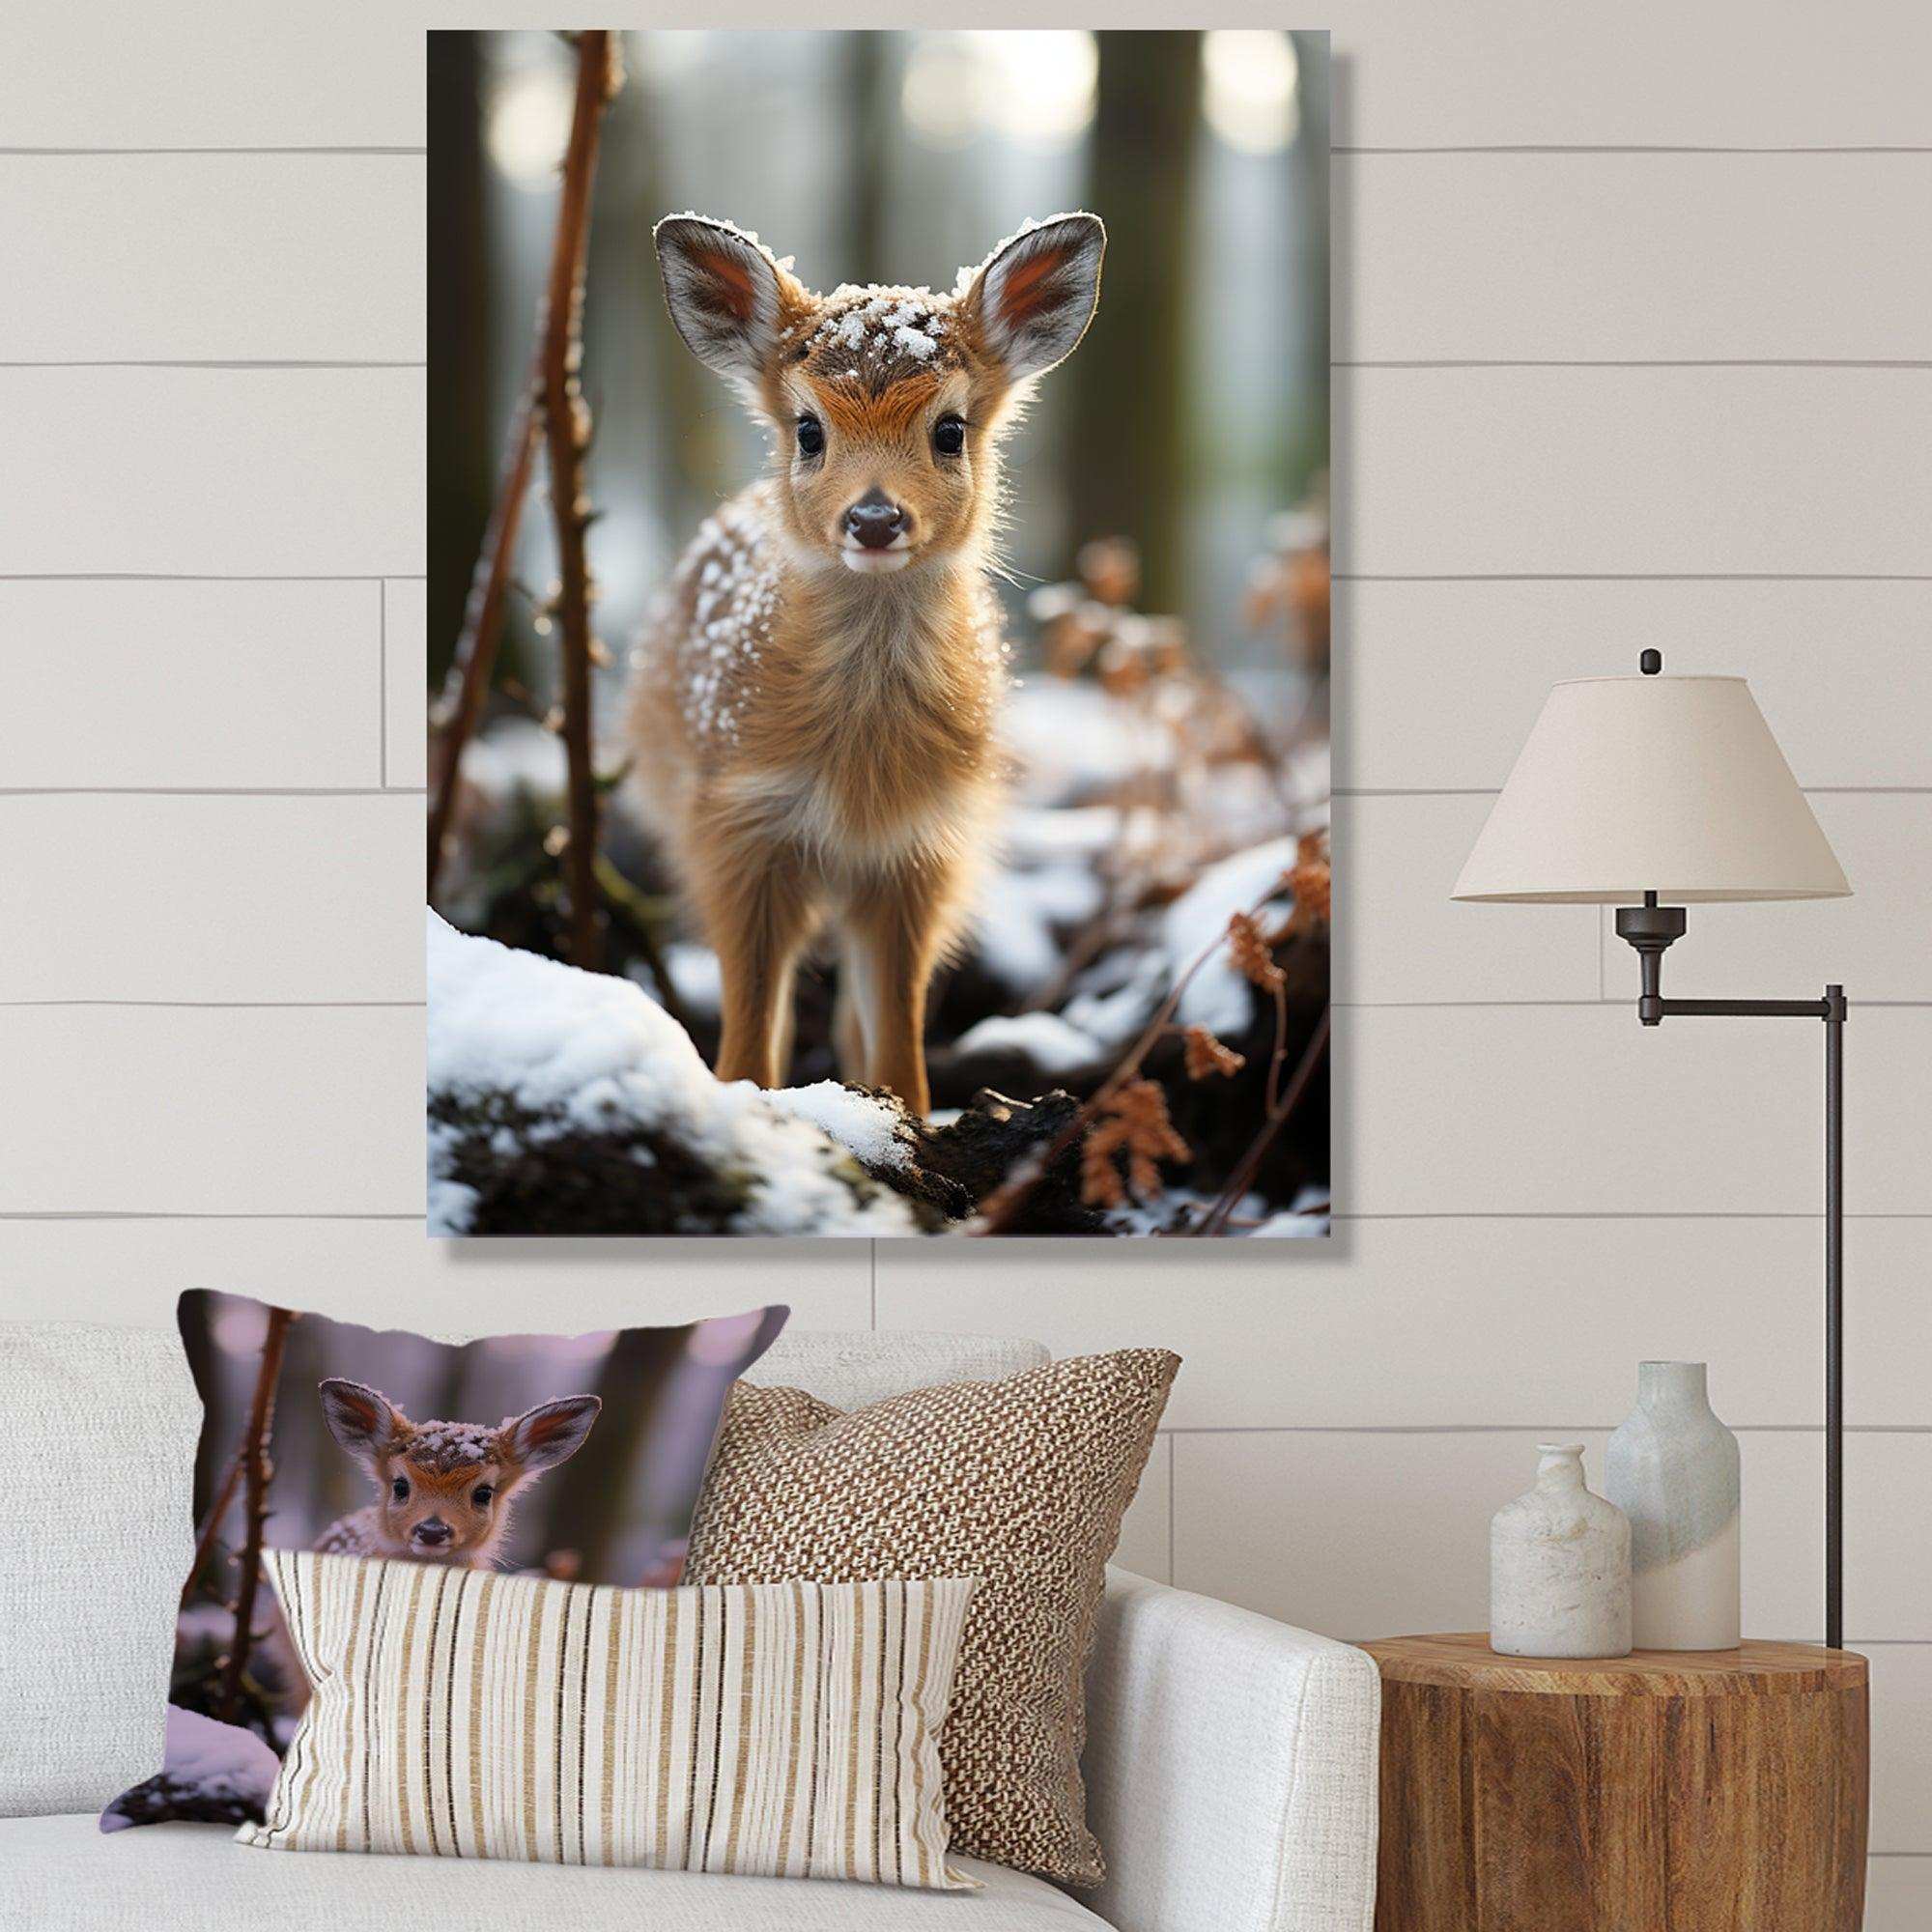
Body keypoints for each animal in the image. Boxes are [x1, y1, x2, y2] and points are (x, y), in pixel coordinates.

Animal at [627, 211, 1106, 1117]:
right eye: (809, 429)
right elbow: (750, 1034)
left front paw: (908, 1124)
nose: (876, 517)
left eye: (950, 430)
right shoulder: (736, 827)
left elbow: (898, 1032)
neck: (858, 772)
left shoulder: (920, 851)